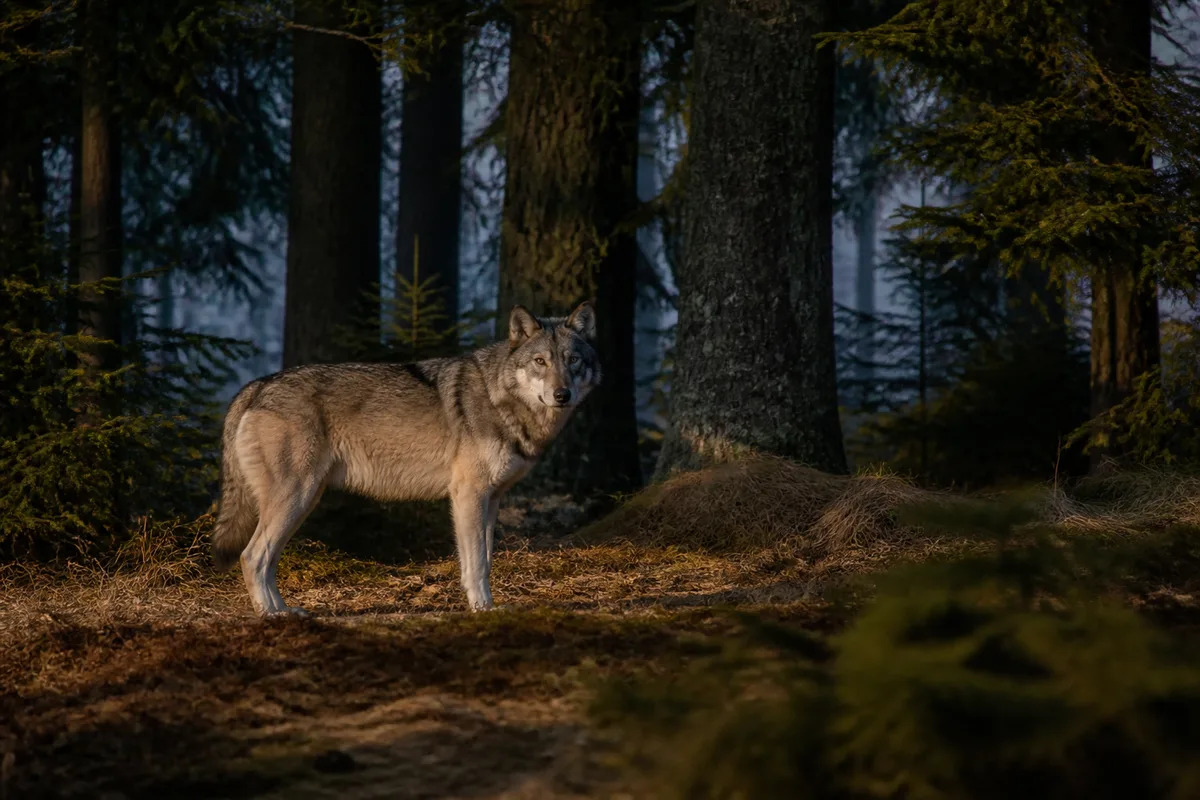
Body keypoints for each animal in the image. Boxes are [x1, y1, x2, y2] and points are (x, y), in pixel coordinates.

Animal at [209, 302, 600, 617]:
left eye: (573, 360)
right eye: (540, 362)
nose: (562, 394)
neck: (501, 399)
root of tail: (258, 385)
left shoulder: (492, 499)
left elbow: (487, 560)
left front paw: (486, 605)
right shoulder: (468, 495)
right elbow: (475, 563)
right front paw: (482, 609)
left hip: (303, 503)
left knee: (265, 559)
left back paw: (284, 609)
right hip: (296, 498)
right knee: (251, 556)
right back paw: (270, 614)